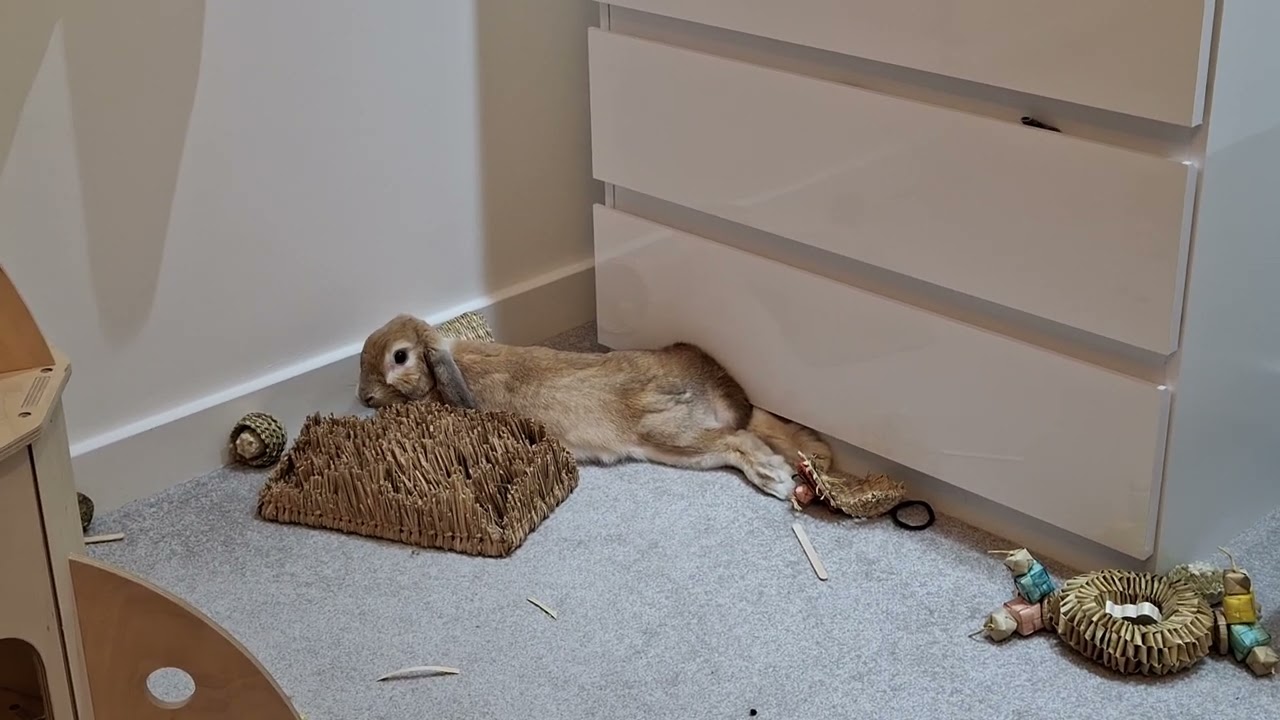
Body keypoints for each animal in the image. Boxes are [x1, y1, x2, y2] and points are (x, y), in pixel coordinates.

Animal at [357, 314, 832, 500]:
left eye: (399, 357)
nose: (365, 398)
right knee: (760, 427)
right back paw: (815, 457)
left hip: (671, 435)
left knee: (738, 441)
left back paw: (777, 478)